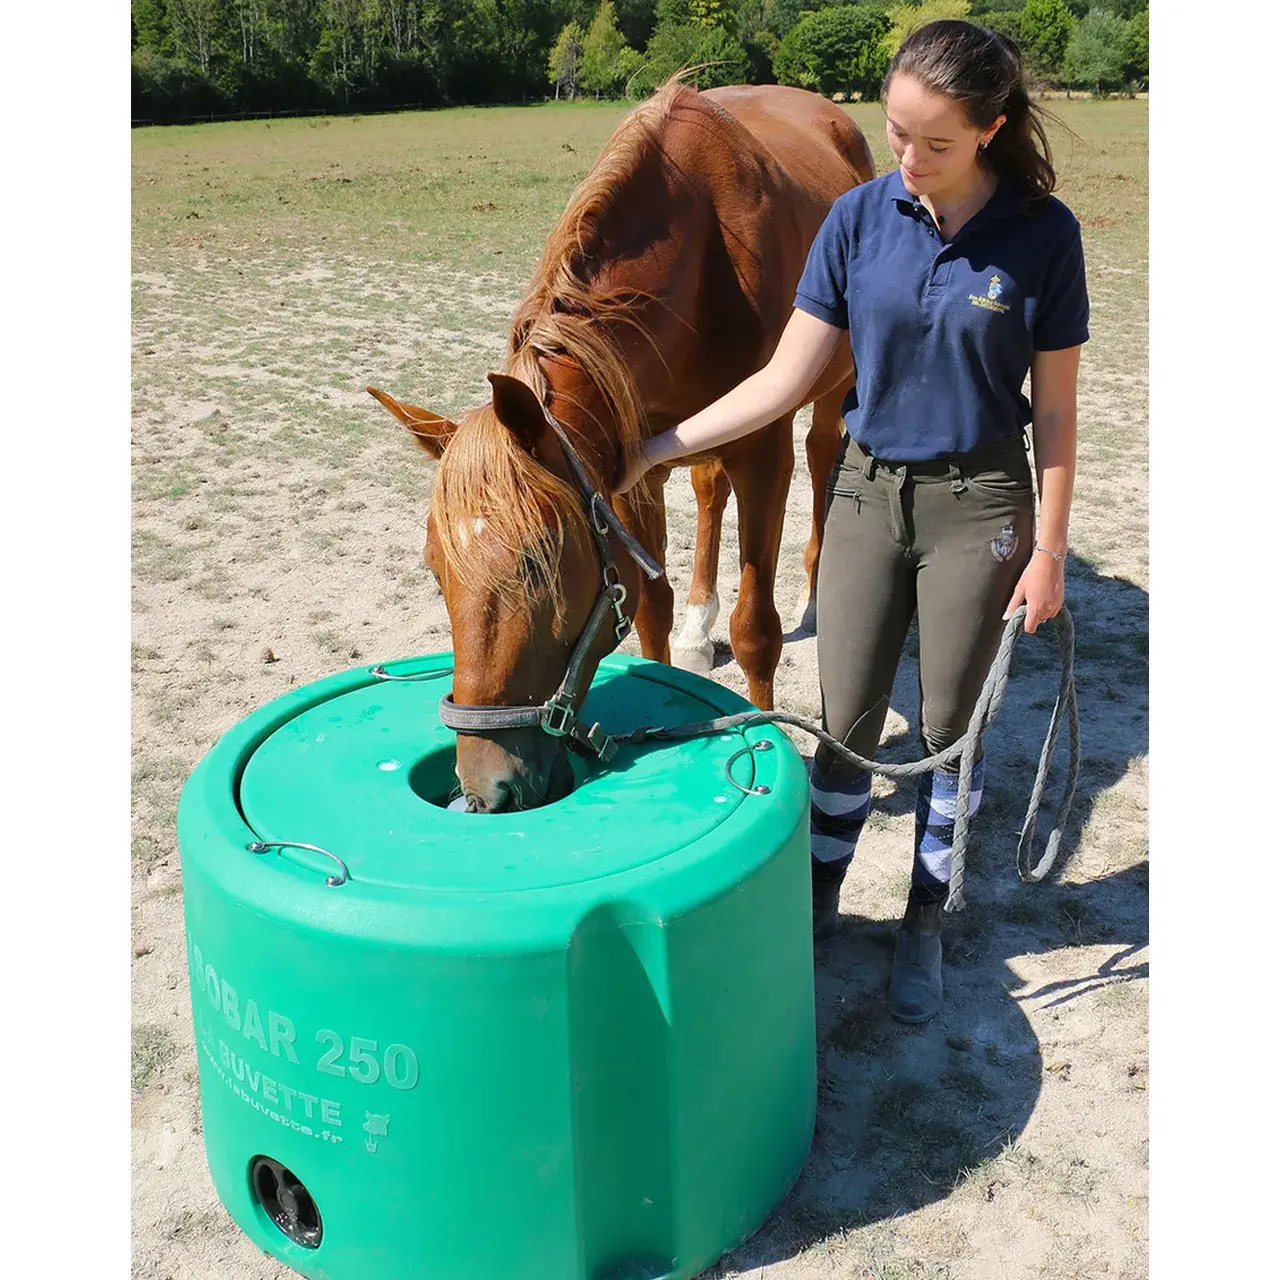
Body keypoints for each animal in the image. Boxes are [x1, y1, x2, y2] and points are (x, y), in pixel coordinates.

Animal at [369, 81, 874, 812]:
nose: (487, 789)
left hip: (834, 389)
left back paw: (812, 592)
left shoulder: (762, 455)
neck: (704, 258)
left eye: (536, 564)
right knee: (709, 492)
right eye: (436, 571)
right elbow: (651, 607)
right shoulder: (633, 468)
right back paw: (698, 624)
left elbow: (757, 631)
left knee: (822, 452)